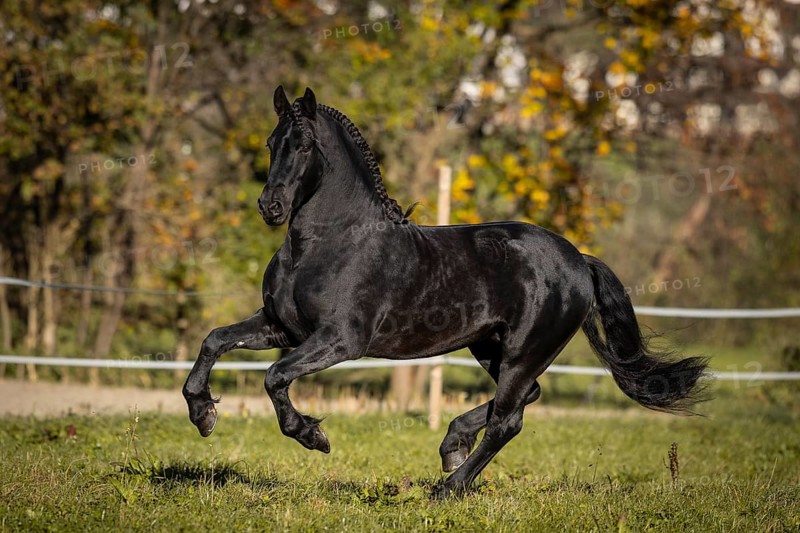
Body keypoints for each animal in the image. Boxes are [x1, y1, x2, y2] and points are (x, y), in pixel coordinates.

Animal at [183, 86, 708, 497]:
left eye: (306, 144)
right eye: (272, 142)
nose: (269, 207)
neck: (329, 243)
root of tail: (579, 259)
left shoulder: (340, 340)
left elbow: (274, 377)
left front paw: (312, 436)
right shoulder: (282, 327)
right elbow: (214, 340)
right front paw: (203, 414)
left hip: (524, 350)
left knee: (509, 418)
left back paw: (449, 487)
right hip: (491, 347)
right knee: (522, 398)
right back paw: (452, 446)